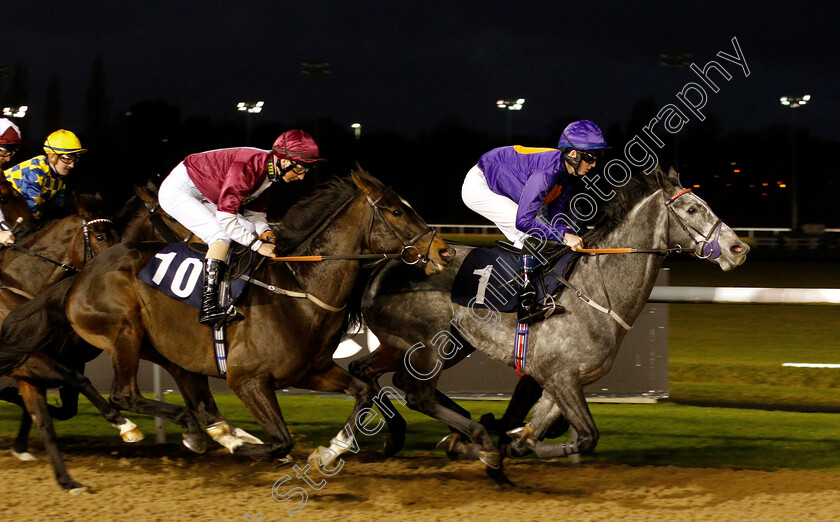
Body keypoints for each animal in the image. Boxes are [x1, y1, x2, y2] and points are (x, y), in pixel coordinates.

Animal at [0, 171, 452, 464]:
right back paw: (172, 430)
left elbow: (363, 392)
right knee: (124, 396)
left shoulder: (312, 372)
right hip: (123, 333)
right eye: (395, 211)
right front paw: (244, 446)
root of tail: (80, 277)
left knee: (193, 402)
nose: (445, 251)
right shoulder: (247, 379)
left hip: (167, 352)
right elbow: (281, 442)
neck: (300, 288)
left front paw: (330, 450)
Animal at [348, 165, 748, 482]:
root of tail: (388, 261)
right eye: (693, 208)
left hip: (427, 344)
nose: (738, 249)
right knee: (414, 391)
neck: (597, 291)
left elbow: (536, 431)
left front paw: (498, 442)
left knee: (368, 372)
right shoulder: (558, 375)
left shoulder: (563, 381)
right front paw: (490, 444)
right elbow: (586, 436)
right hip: (432, 344)